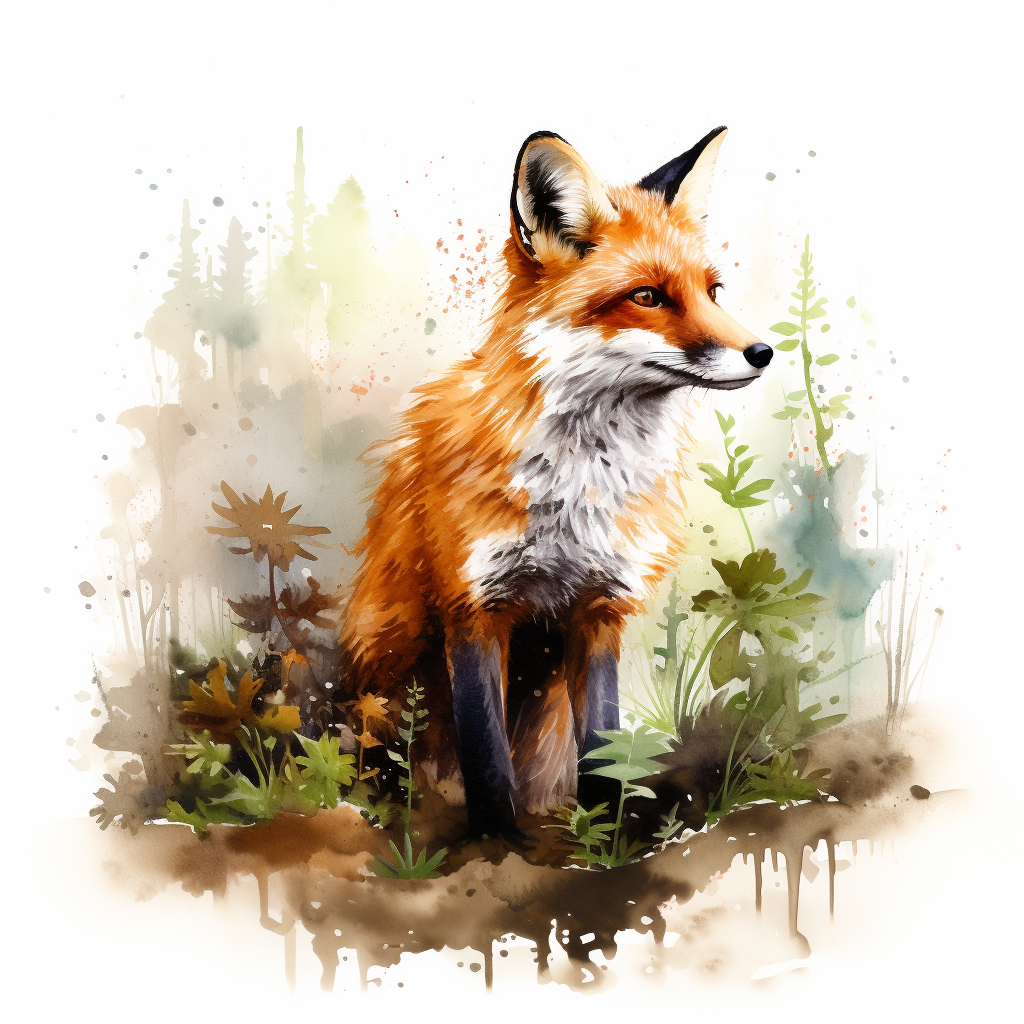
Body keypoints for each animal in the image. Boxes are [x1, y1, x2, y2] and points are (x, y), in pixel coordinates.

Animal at [338, 127, 772, 842]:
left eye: (714, 290)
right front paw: (498, 849)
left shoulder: (599, 608)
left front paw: (603, 844)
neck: (578, 493)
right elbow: (487, 763)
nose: (763, 352)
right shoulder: (474, 608)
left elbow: (601, 746)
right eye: (647, 296)